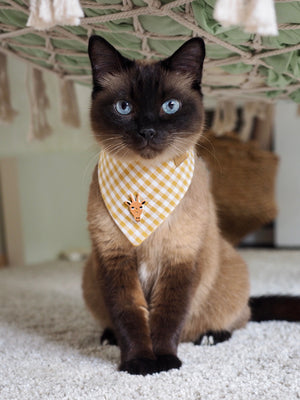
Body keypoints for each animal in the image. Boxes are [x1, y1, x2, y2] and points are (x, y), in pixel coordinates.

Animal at [82, 35, 300, 376]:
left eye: (170, 106)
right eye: (124, 107)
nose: (147, 131)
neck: (145, 182)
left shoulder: (181, 258)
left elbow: (168, 314)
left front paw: (164, 362)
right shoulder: (114, 258)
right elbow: (129, 315)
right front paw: (139, 363)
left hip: (229, 268)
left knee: (240, 317)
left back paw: (211, 335)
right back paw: (108, 337)